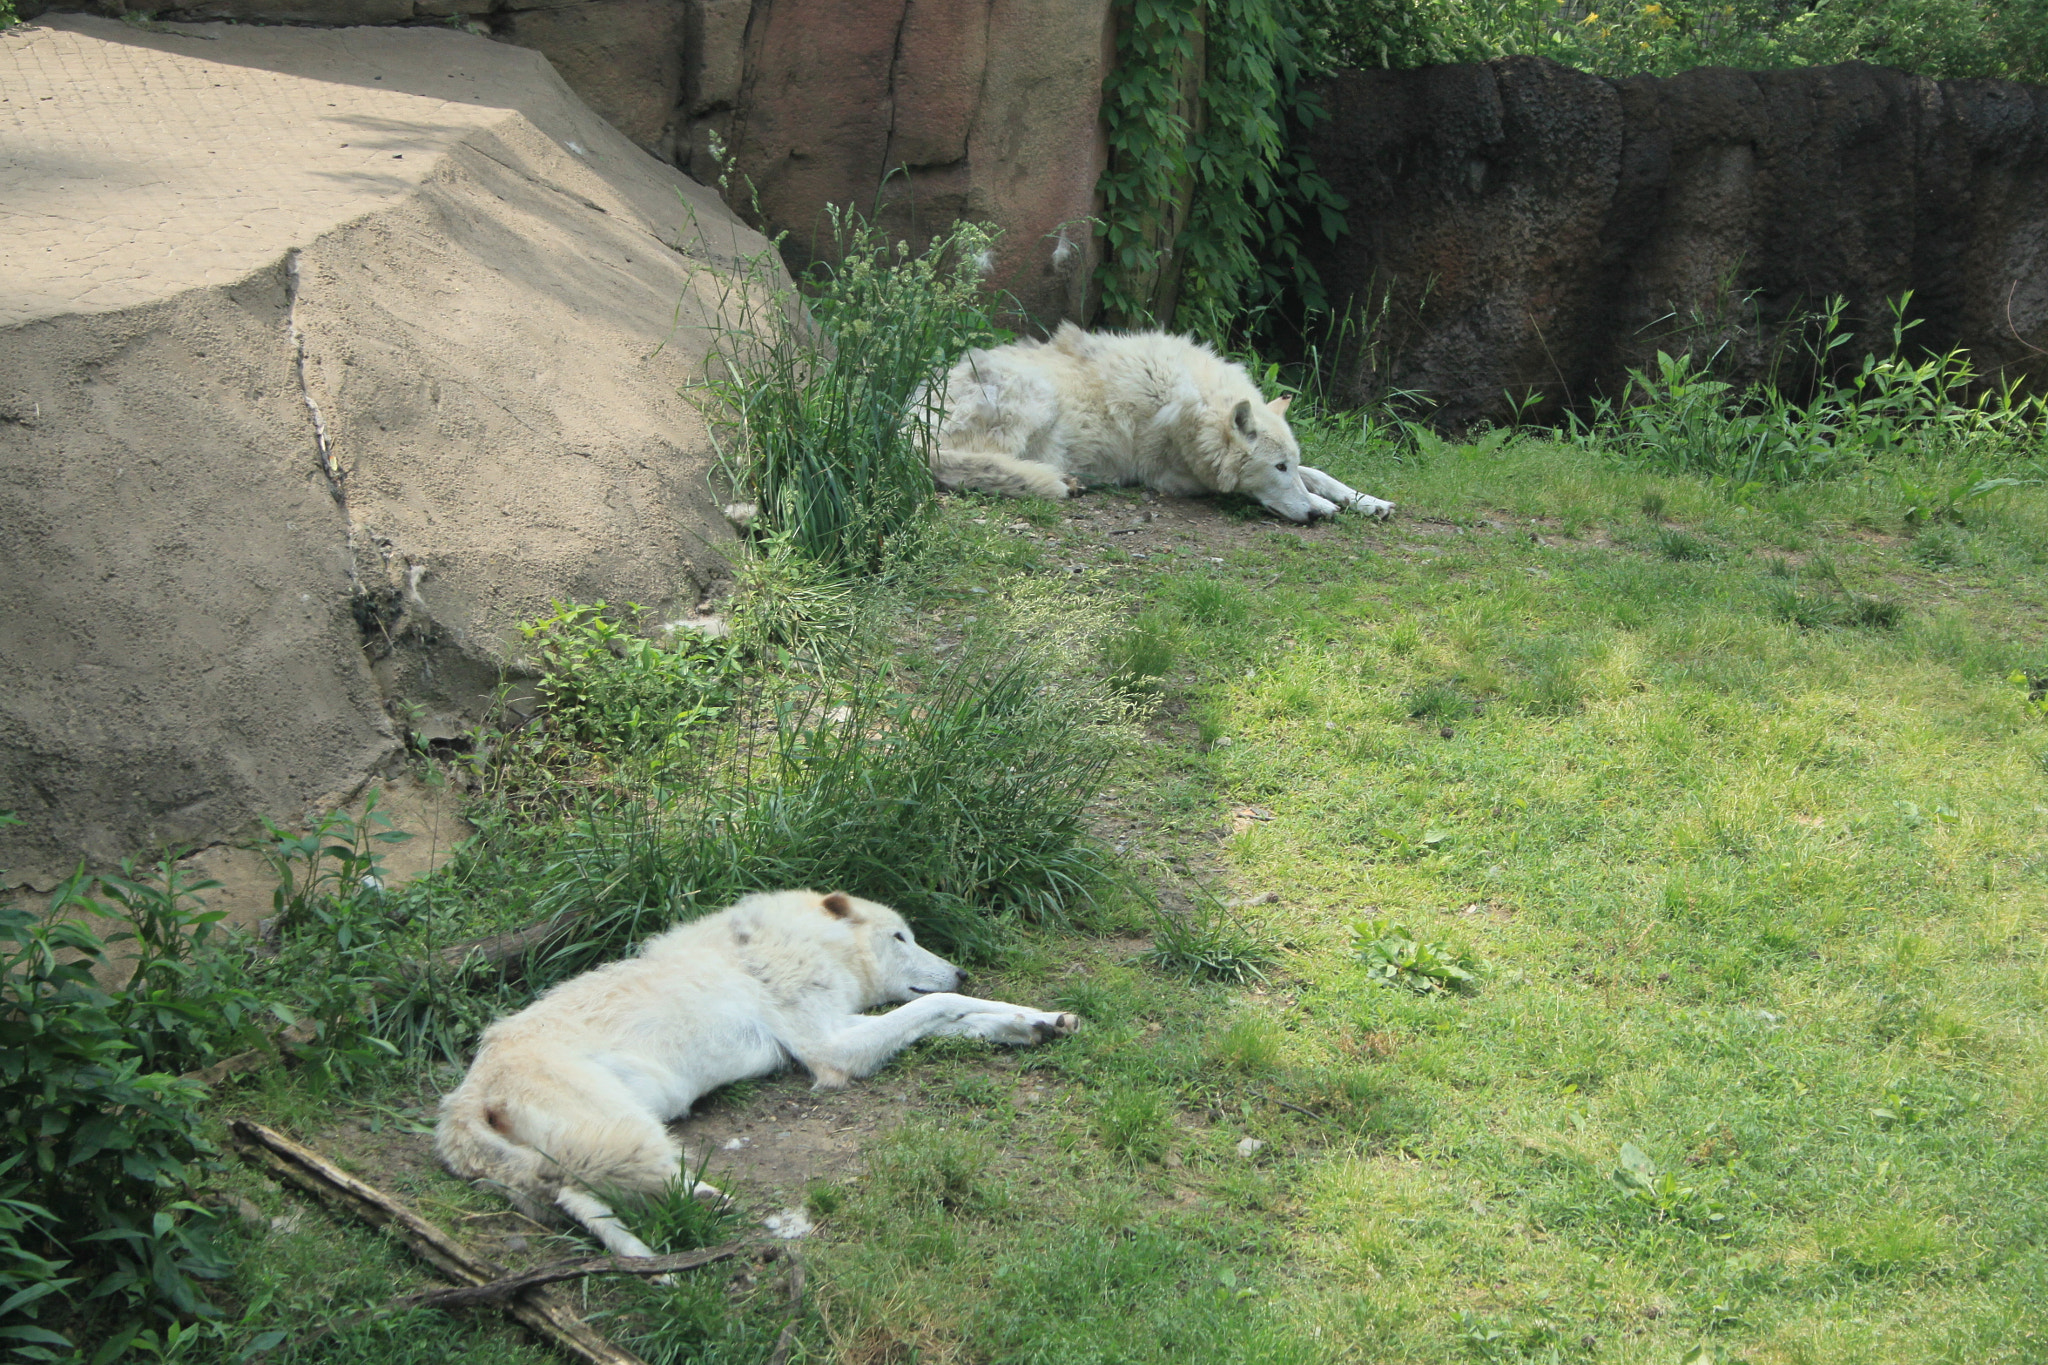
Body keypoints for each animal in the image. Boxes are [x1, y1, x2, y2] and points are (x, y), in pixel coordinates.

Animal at [434, 889, 1078, 1258]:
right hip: (622, 1129)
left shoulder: (847, 1025)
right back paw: (710, 1203)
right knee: (606, 1185)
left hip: (594, 1140)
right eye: (900, 937)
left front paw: (1040, 1022)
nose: (962, 968)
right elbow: (937, 1005)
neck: (805, 943)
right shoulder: (830, 1045)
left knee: (569, 1191)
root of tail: (459, 1107)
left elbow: (962, 1014)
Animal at [923, 323, 1395, 523]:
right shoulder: (1173, 478)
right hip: (1037, 398)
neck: (1193, 405)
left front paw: (1364, 500)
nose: (1312, 518)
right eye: (1276, 468)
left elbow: (1317, 472)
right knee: (963, 464)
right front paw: (1324, 506)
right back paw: (1062, 481)